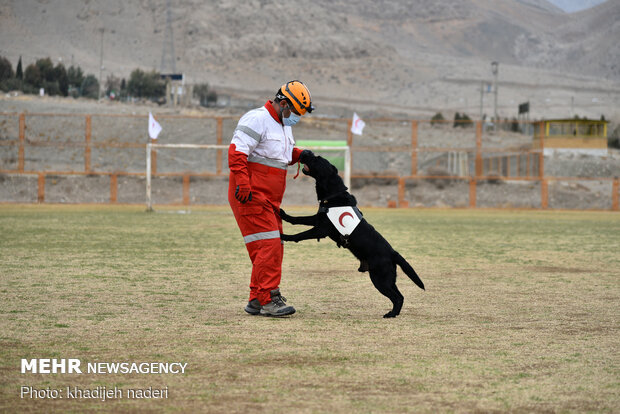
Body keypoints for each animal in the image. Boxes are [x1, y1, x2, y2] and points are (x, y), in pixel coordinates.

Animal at [280, 151, 422, 316]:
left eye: (316, 158)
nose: (304, 151)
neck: (333, 194)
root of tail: (393, 253)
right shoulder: (318, 220)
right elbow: (298, 219)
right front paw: (282, 214)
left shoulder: (321, 229)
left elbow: (300, 235)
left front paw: (284, 236)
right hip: (388, 279)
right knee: (400, 296)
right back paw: (395, 313)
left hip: (380, 278)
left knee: (397, 297)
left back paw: (391, 314)